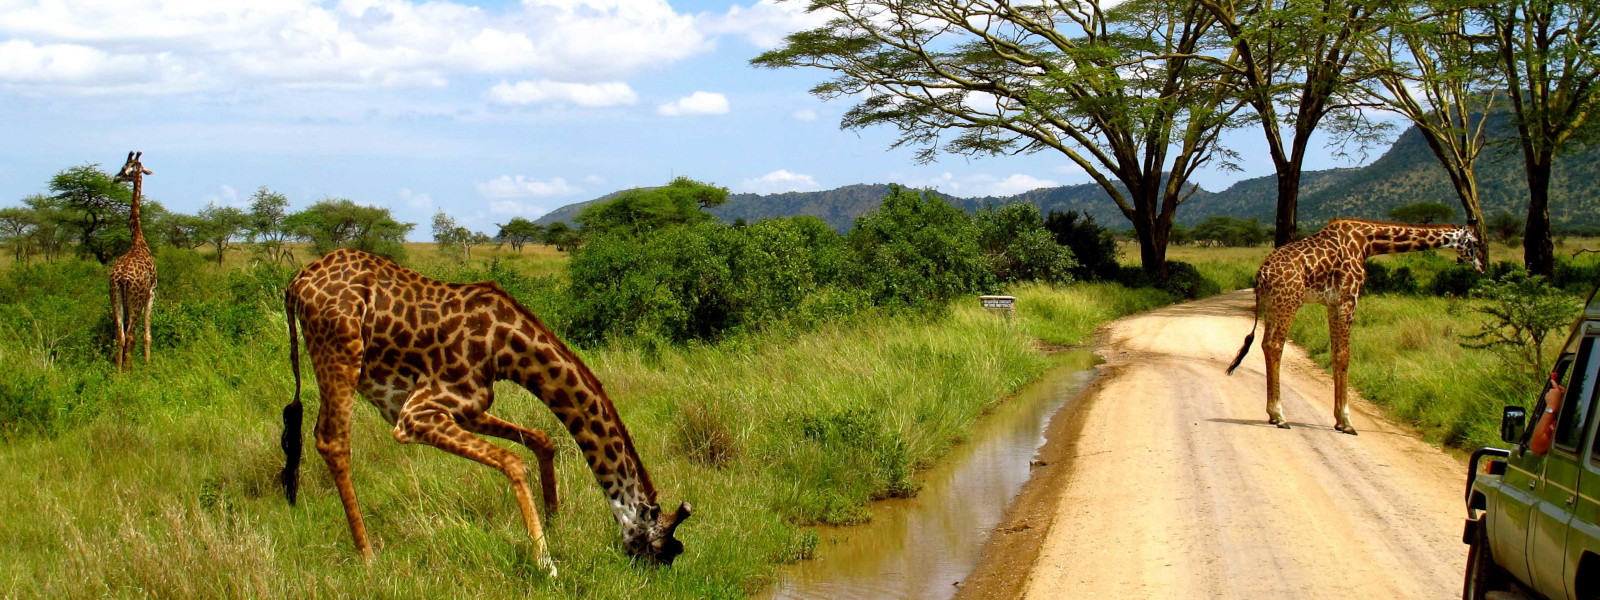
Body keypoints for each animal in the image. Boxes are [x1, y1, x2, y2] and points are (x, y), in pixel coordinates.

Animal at [278, 249, 691, 579]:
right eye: (658, 547)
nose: (648, 576)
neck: (505, 349)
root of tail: (296, 281)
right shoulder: (414, 415)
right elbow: (513, 462)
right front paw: (546, 562)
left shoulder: (467, 407)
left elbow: (542, 440)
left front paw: (555, 525)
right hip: (340, 351)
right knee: (332, 440)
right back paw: (367, 556)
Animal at [1222, 219, 1484, 435]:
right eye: (1474, 242)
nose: (1482, 266)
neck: (1368, 242)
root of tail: (1261, 274)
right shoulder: (1349, 298)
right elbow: (1344, 355)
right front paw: (1347, 422)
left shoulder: (1333, 303)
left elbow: (1335, 353)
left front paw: (1339, 420)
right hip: (1290, 301)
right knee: (1276, 345)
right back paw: (1279, 416)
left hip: (1274, 305)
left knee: (1266, 344)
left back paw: (1272, 414)